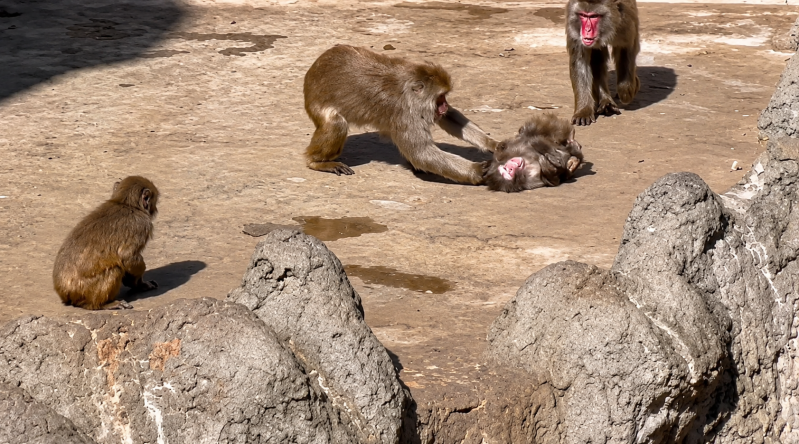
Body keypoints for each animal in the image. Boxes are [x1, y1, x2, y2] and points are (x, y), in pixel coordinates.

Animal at [53, 176, 159, 310]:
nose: (155, 209)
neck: (125, 203)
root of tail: (64, 293)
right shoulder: (142, 225)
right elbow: (127, 256)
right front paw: (138, 283)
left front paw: (137, 284)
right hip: (87, 290)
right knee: (115, 269)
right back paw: (103, 304)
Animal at [303, 45, 499, 185]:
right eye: (440, 97)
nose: (443, 107)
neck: (408, 90)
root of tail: (313, 70)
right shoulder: (404, 113)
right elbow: (421, 153)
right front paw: (478, 171)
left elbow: (448, 119)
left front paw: (494, 144)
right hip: (315, 104)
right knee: (337, 122)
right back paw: (315, 162)